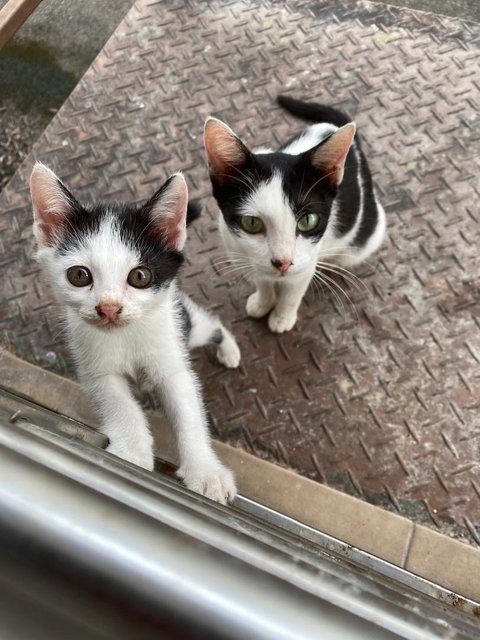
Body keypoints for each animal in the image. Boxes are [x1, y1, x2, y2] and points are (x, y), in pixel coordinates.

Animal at [30, 162, 240, 502]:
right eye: (79, 275)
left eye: (139, 276)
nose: (109, 308)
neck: (125, 335)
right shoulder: (94, 369)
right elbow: (120, 404)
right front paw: (131, 453)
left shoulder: (173, 364)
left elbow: (188, 412)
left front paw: (206, 472)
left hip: (185, 324)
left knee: (212, 325)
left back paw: (229, 349)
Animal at [203, 97, 386, 336]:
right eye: (251, 223)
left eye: (308, 221)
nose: (283, 263)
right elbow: (261, 279)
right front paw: (263, 301)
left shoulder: (306, 262)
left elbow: (293, 291)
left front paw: (282, 316)